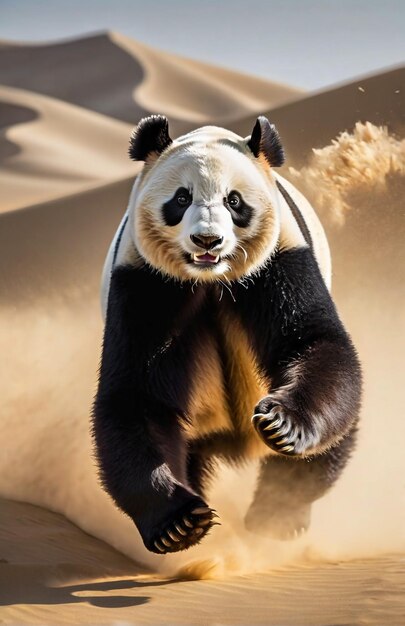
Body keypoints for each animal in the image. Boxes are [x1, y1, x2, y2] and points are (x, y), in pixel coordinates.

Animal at [93, 114, 362, 552]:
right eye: (181, 199)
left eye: (234, 201)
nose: (207, 240)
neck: (210, 280)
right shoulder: (146, 282)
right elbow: (137, 394)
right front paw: (178, 520)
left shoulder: (279, 262)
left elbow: (310, 342)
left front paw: (281, 423)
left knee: (332, 438)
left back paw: (278, 513)